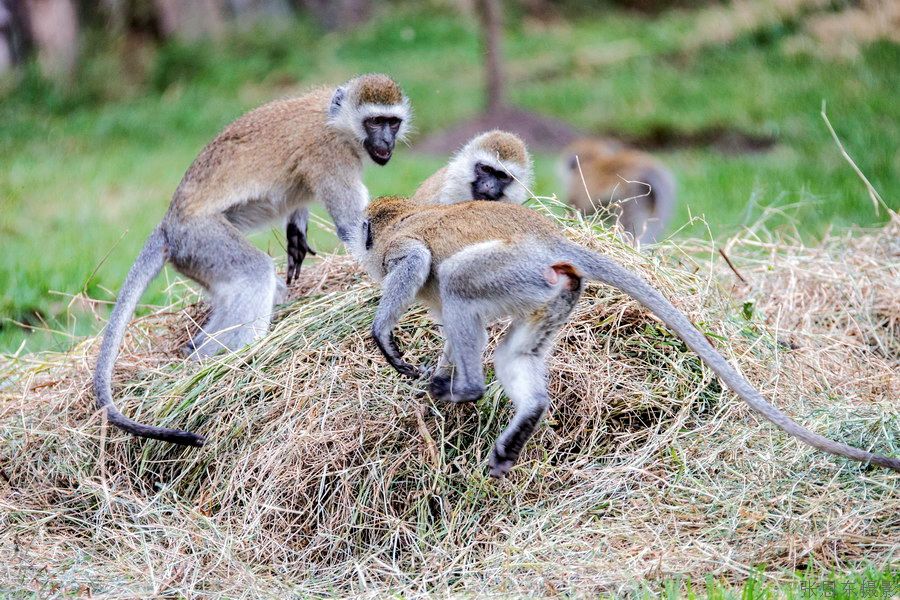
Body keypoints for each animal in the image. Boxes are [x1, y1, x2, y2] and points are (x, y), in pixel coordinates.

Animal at [94, 72, 412, 446]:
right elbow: (352, 227)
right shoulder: (328, 153)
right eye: (375, 121)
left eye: (392, 122)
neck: (336, 119)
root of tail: (169, 225)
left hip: (197, 256)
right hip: (202, 239)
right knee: (256, 273)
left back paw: (195, 350)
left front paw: (297, 226)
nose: (386, 141)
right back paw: (227, 356)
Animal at [356, 197, 900, 478]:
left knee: (456, 283)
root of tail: (553, 243)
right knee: (515, 351)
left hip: (511, 273)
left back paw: (466, 389)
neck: (400, 213)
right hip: (553, 293)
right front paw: (434, 372)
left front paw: (386, 337)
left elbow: (418, 262)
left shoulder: (398, 249)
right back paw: (523, 414)